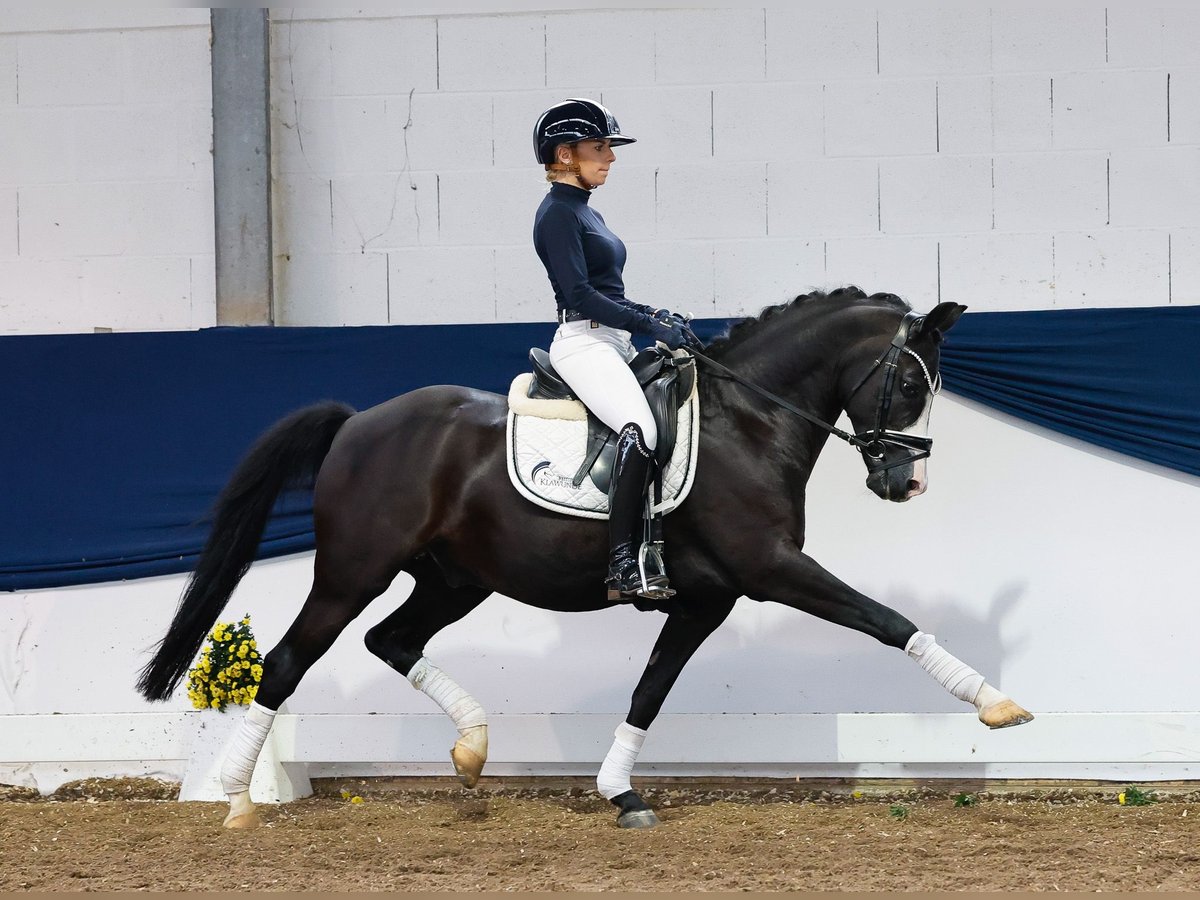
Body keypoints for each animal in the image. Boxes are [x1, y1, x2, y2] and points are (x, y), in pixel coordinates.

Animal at [133, 286, 1032, 830]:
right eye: (909, 386)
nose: (904, 483)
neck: (748, 420)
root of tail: (357, 422)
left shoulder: (706, 599)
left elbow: (650, 691)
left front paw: (621, 792)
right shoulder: (771, 569)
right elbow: (887, 620)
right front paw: (995, 703)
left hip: (456, 579)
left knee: (391, 640)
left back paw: (472, 748)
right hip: (353, 571)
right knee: (287, 661)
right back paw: (237, 800)